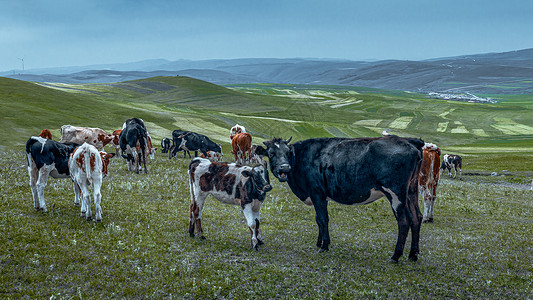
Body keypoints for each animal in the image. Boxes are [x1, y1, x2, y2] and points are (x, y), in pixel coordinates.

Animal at [258, 136, 424, 262]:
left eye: (287, 152)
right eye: (271, 153)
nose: (284, 168)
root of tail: (408, 140)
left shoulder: (317, 193)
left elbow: (323, 219)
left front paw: (324, 246)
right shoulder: (321, 196)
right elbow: (318, 219)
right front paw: (319, 242)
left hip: (396, 193)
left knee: (404, 220)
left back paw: (396, 256)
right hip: (411, 191)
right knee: (417, 217)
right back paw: (413, 255)